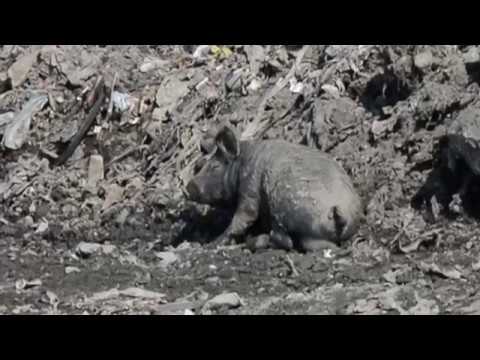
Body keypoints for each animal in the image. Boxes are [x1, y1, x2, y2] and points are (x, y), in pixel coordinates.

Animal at [182, 125, 362, 252]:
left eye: (214, 166)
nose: (187, 188)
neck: (242, 165)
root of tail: (339, 212)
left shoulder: (249, 188)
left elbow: (242, 218)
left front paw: (211, 245)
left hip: (285, 208)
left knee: (286, 241)